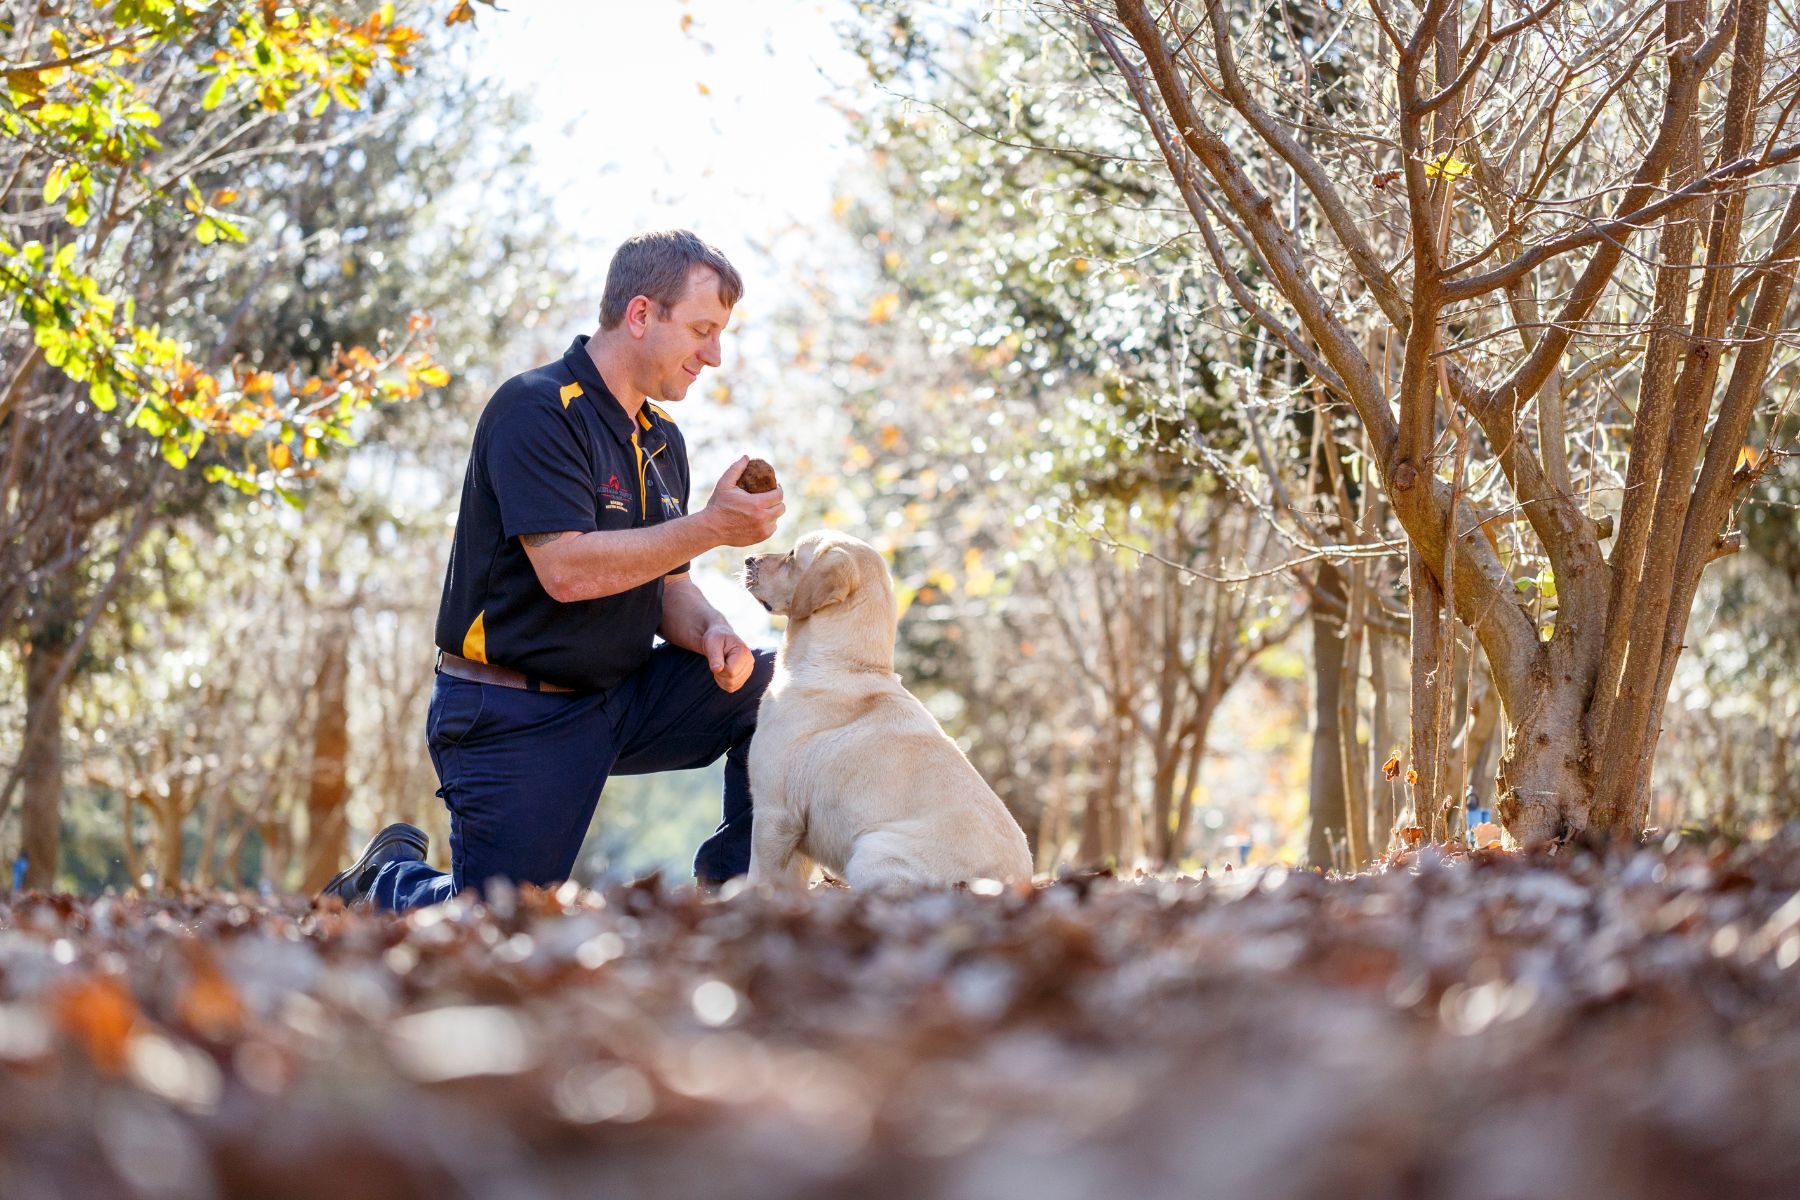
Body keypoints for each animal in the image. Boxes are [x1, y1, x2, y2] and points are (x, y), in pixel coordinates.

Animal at [741, 528, 1029, 888]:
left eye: (792, 555)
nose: (748, 559)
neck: (849, 664)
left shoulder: (773, 814)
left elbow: (757, 879)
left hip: (871, 849)